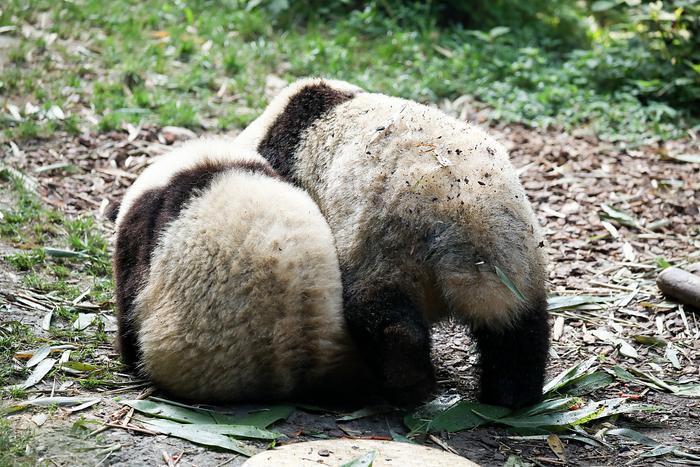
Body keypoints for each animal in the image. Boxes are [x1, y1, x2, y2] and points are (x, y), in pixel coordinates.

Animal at [235, 78, 552, 408]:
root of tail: (467, 222)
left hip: (388, 237)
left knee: (381, 310)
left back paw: (408, 382)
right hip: (516, 254)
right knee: (517, 327)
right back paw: (512, 394)